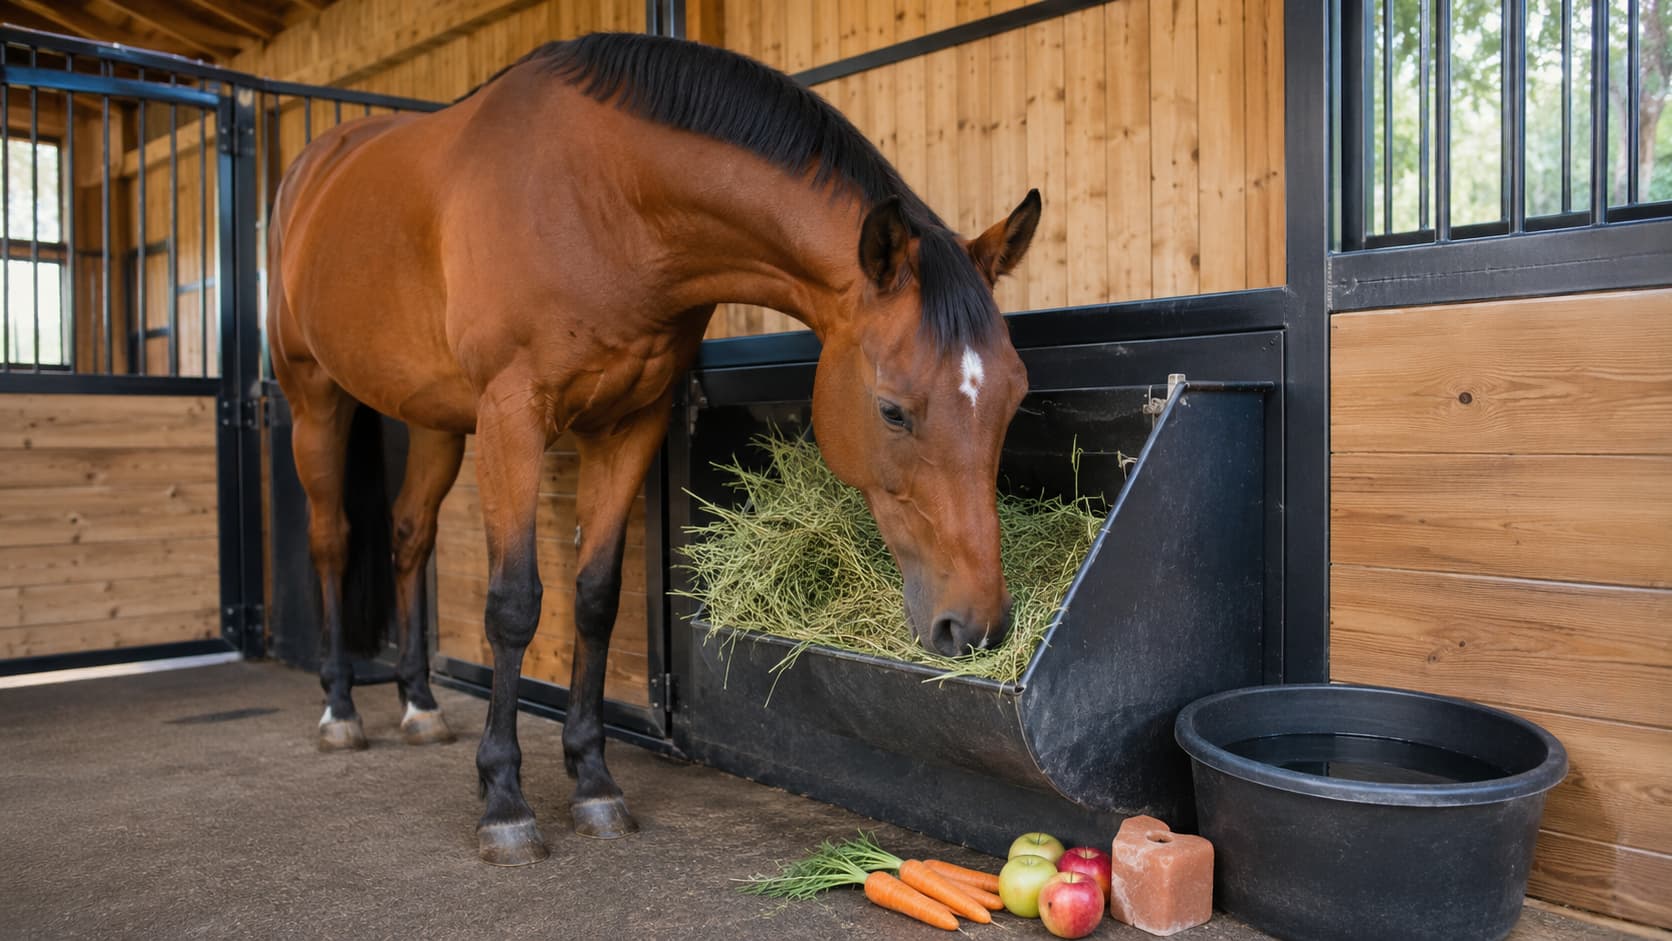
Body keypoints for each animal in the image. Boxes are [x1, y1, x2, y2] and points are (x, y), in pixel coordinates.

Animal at [267, 32, 1041, 866]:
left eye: (1013, 396)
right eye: (893, 410)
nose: (976, 623)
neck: (605, 201)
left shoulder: (629, 421)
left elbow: (595, 598)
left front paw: (594, 784)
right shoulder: (512, 414)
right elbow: (514, 604)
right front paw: (504, 800)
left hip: (436, 420)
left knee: (410, 537)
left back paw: (418, 703)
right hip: (314, 399)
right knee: (331, 540)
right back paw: (340, 708)